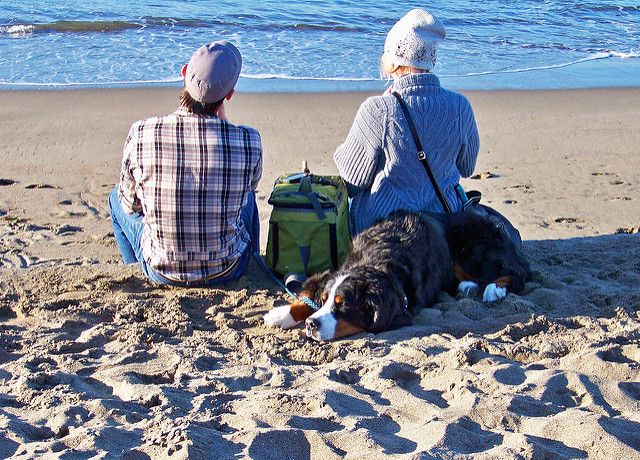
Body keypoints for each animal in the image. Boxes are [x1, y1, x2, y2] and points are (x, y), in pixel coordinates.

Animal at [262, 210, 532, 340]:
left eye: (343, 305)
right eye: (325, 300)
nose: (311, 324)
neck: (378, 260)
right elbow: (307, 292)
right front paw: (282, 313)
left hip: (472, 251)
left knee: (516, 273)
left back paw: (492, 289)